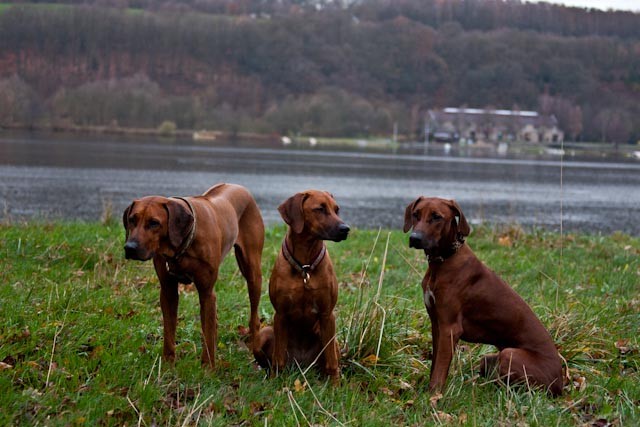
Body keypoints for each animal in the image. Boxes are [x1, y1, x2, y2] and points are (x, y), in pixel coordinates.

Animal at [121, 183, 264, 368]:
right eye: (132, 219)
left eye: (154, 223)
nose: (129, 248)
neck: (181, 246)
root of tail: (239, 186)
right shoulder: (168, 291)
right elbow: (169, 330)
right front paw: (168, 364)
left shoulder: (207, 292)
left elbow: (207, 335)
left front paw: (208, 368)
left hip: (253, 272)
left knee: (254, 316)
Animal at [252, 191, 350, 382]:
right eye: (320, 209)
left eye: (337, 209)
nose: (346, 229)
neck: (305, 266)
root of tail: (302, 365)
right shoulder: (280, 315)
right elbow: (278, 357)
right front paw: (275, 380)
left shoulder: (327, 315)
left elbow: (332, 361)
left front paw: (335, 384)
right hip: (263, 334)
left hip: (331, 339)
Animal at [402, 197, 564, 398]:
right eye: (416, 214)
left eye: (437, 217)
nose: (414, 238)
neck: (443, 261)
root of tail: (561, 384)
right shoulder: (436, 324)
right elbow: (435, 363)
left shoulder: (450, 328)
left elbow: (440, 368)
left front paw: (434, 395)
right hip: (488, 359)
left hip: (509, 354)